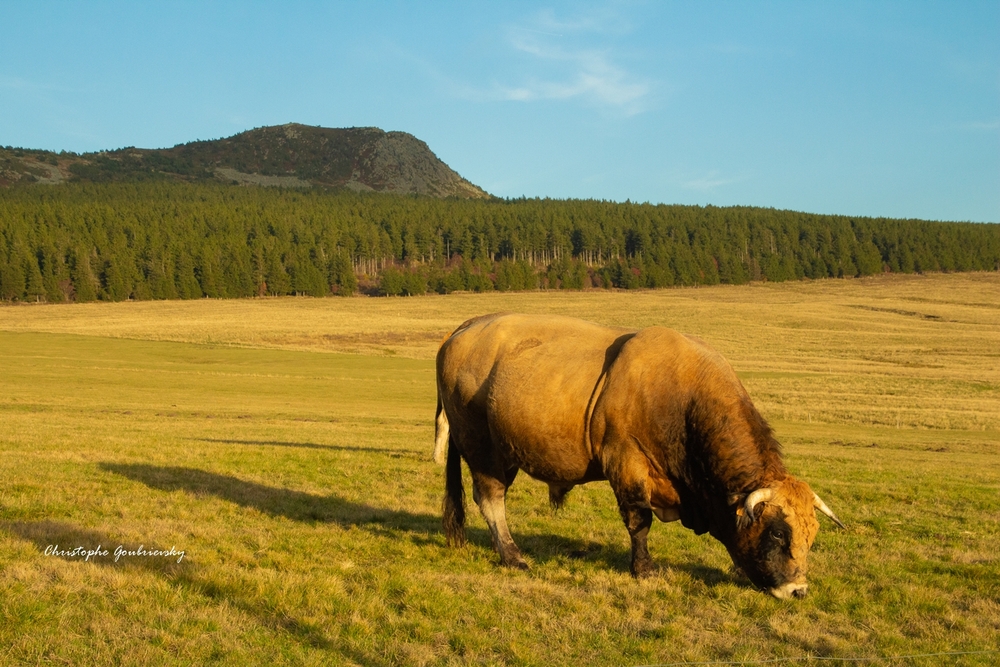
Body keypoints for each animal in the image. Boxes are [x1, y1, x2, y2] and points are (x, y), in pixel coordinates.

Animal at [434, 314, 840, 600]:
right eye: (778, 533)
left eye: (813, 534)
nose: (798, 590)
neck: (681, 397)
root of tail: (463, 329)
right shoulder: (626, 464)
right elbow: (639, 522)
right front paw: (644, 568)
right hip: (483, 449)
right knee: (491, 500)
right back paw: (512, 555)